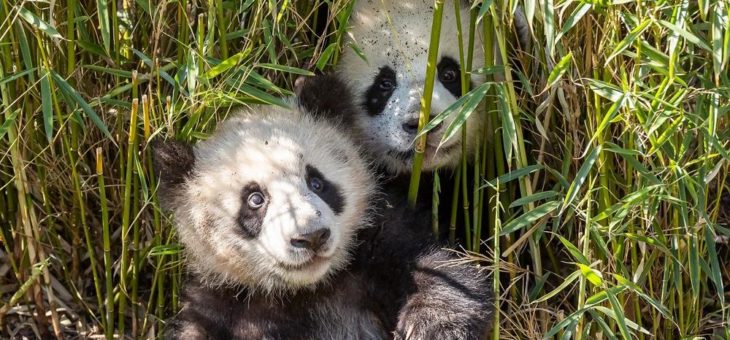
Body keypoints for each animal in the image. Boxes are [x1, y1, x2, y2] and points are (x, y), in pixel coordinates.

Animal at [156, 75, 492, 340]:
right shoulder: (224, 305)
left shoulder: (377, 238)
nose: (311, 237)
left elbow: (439, 270)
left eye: (316, 182)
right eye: (255, 199)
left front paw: (434, 326)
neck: (309, 290)